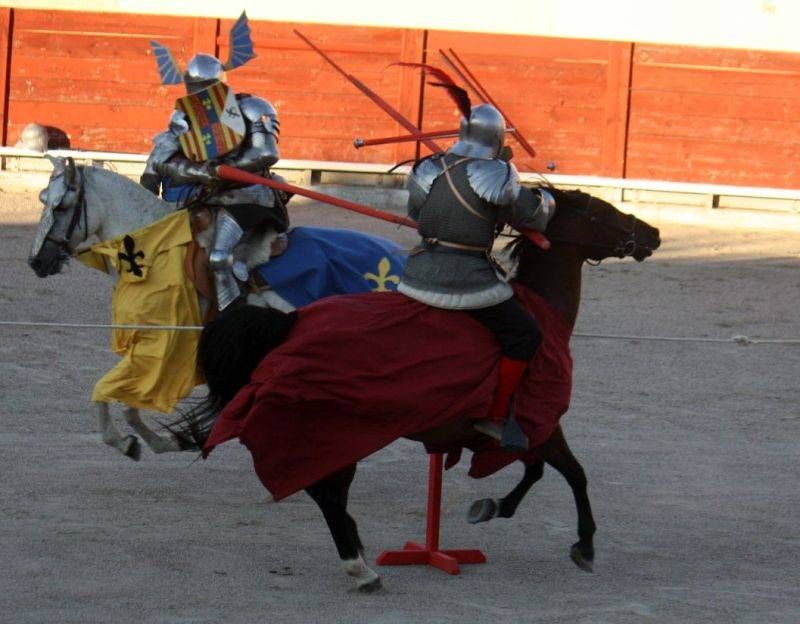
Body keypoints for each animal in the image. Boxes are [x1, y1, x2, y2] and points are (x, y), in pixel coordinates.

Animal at [28, 156, 406, 458]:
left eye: (61, 207)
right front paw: (157, 442)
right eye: (43, 200)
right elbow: (122, 397)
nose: (36, 261)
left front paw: (133, 442)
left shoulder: (164, 346)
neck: (154, 251)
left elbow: (112, 391)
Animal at [175, 188, 664, 592]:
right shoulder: (539, 424)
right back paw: (360, 568)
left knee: (326, 494)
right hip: (336, 433)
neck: (543, 309)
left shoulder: (526, 433)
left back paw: (360, 555)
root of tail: (289, 322)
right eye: (602, 213)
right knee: (328, 495)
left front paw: (491, 507)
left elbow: (538, 471)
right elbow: (572, 473)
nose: (653, 234)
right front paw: (584, 545)